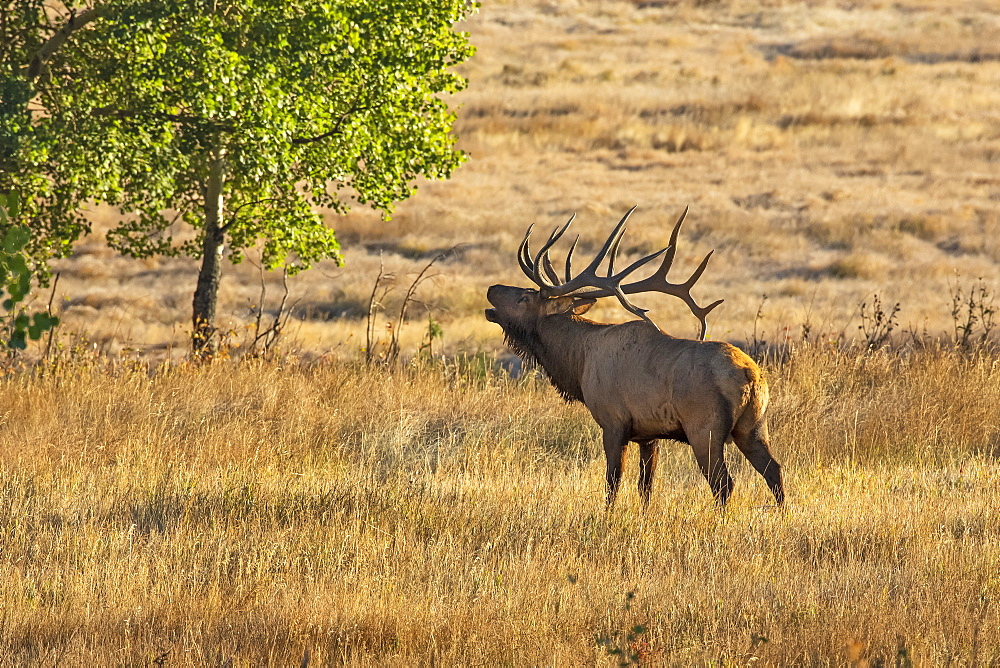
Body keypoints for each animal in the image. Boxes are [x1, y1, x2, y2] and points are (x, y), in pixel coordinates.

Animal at [484, 205, 780, 506]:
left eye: (524, 298)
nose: (491, 288)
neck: (578, 363)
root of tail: (751, 377)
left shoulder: (614, 422)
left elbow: (612, 483)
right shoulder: (649, 435)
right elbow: (645, 486)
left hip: (704, 428)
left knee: (723, 483)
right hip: (754, 427)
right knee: (774, 472)